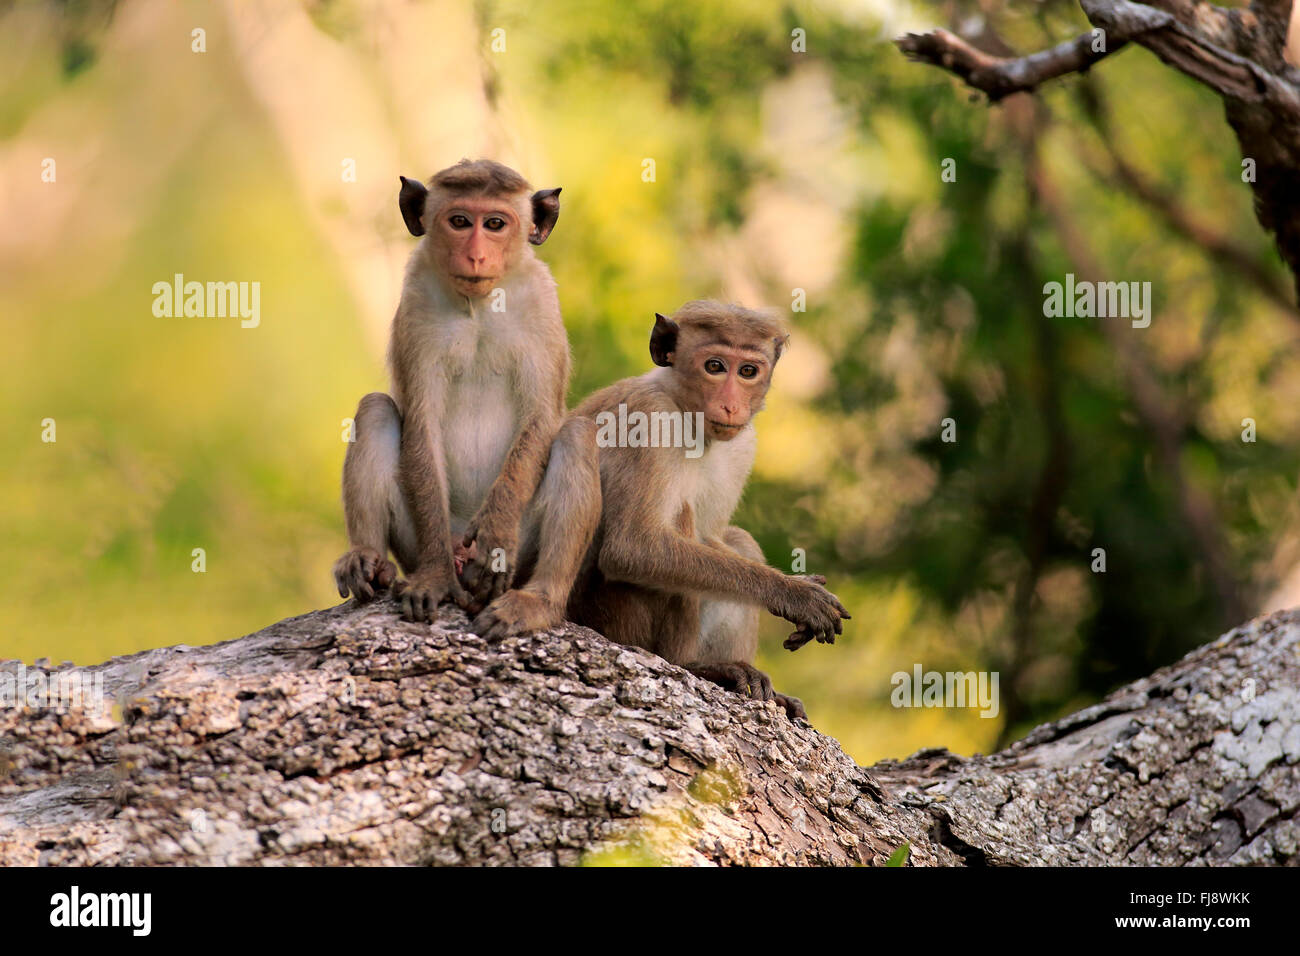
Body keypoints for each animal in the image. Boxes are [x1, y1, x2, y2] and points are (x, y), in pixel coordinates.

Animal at [332, 158, 600, 634]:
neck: (479, 305)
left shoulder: (542, 304)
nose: (476, 254)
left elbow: (541, 417)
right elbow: (420, 422)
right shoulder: (416, 306)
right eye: (459, 222)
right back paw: (370, 562)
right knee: (375, 410)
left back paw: (537, 602)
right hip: (418, 541)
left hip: (525, 550)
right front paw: (434, 578)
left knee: (577, 435)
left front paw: (495, 538)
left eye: (494, 224)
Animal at [561, 300, 847, 717]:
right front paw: (795, 594)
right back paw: (694, 666)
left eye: (748, 371)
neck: (686, 414)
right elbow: (632, 548)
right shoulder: (647, 417)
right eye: (714, 366)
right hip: (611, 620)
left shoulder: (743, 444)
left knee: (736, 543)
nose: (731, 404)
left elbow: (712, 537)